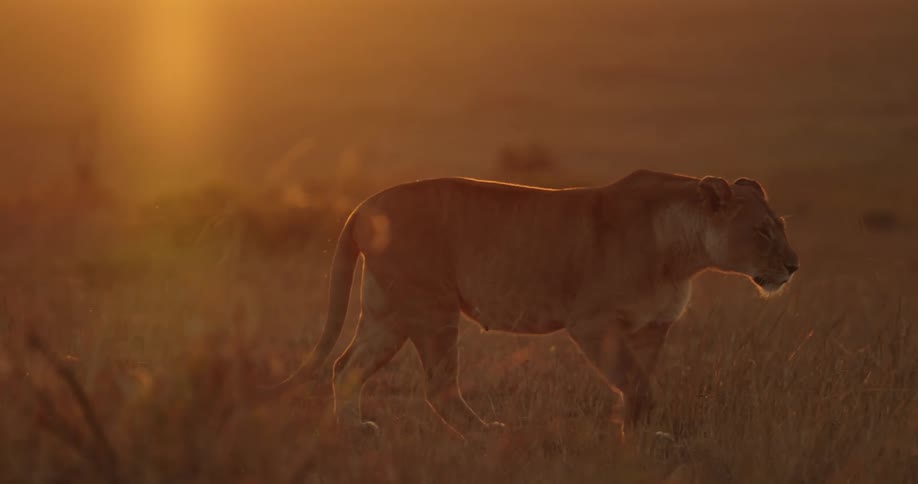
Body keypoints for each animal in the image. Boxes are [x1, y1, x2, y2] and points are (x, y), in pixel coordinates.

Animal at [265, 169, 800, 439]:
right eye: (762, 231)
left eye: (781, 226)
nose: (794, 267)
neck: (684, 256)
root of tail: (361, 206)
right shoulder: (592, 323)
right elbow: (634, 383)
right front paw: (632, 437)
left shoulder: (652, 328)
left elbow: (641, 384)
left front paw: (639, 436)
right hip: (432, 309)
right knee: (438, 388)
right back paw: (487, 433)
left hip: (388, 314)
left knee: (345, 366)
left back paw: (355, 429)